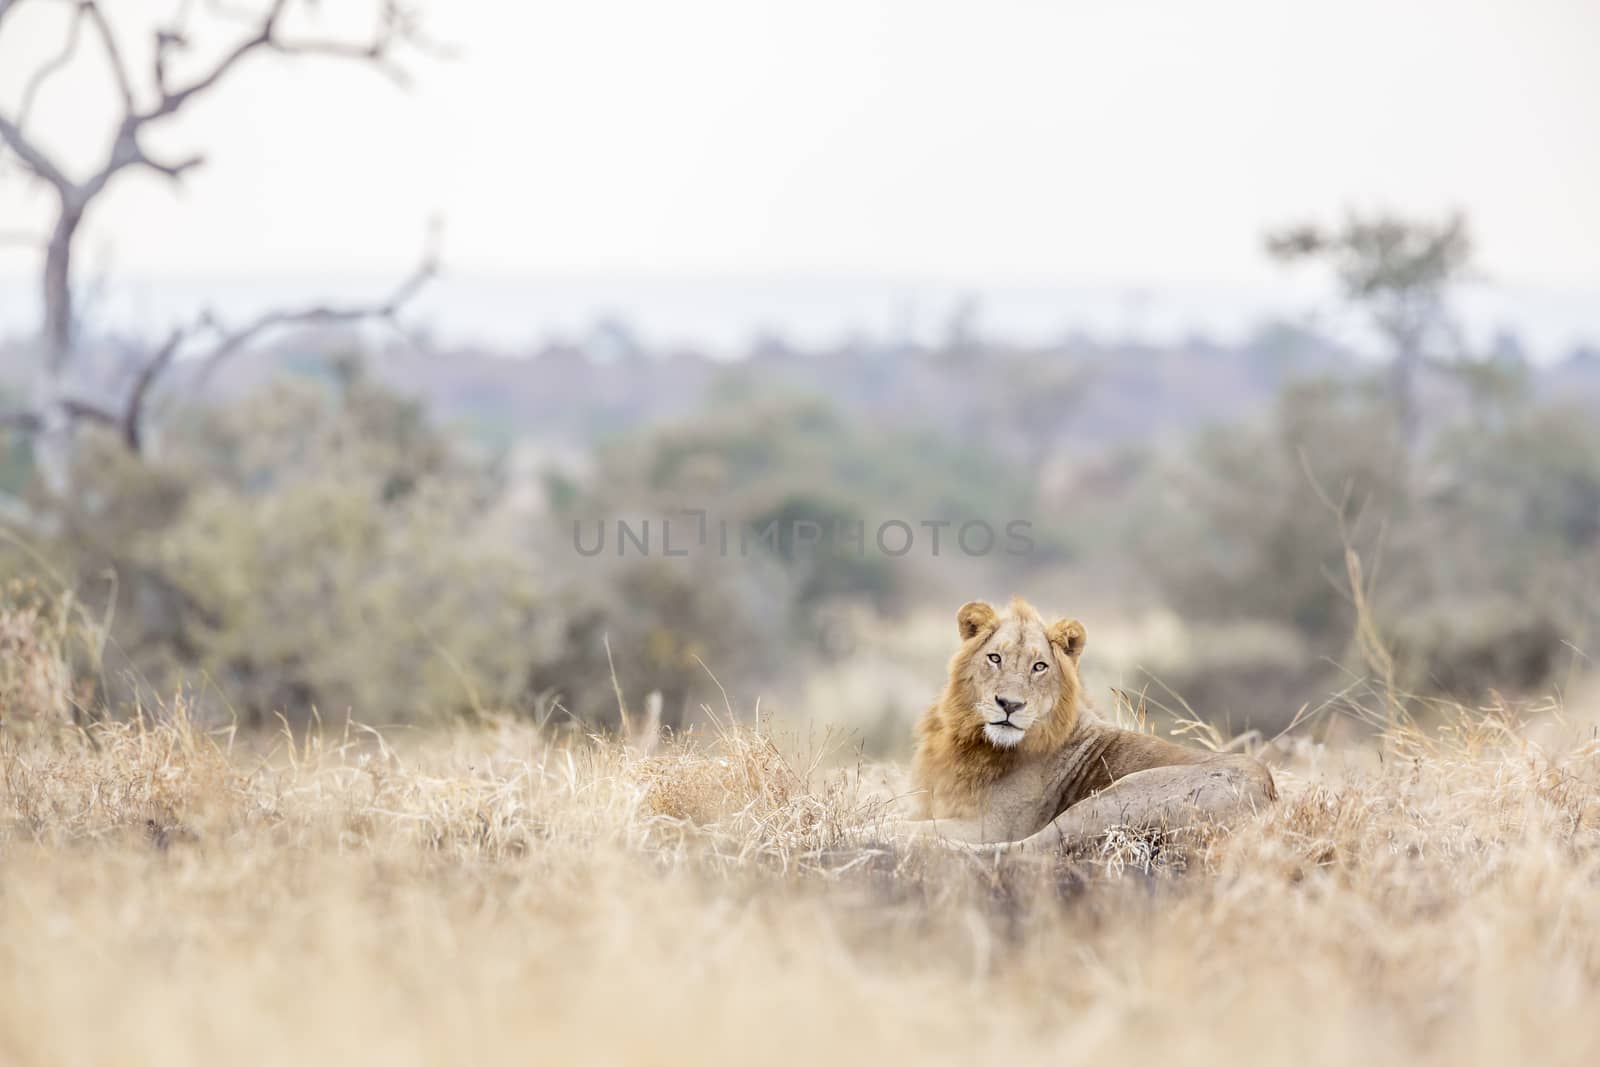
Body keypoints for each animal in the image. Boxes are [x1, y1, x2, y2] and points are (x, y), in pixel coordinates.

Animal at [908, 591, 1280, 851]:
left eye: (1039, 666)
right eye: (994, 658)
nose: (1010, 705)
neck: (972, 740)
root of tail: (1270, 795)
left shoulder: (995, 822)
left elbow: (906, 822)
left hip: (1111, 800)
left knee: (1030, 848)